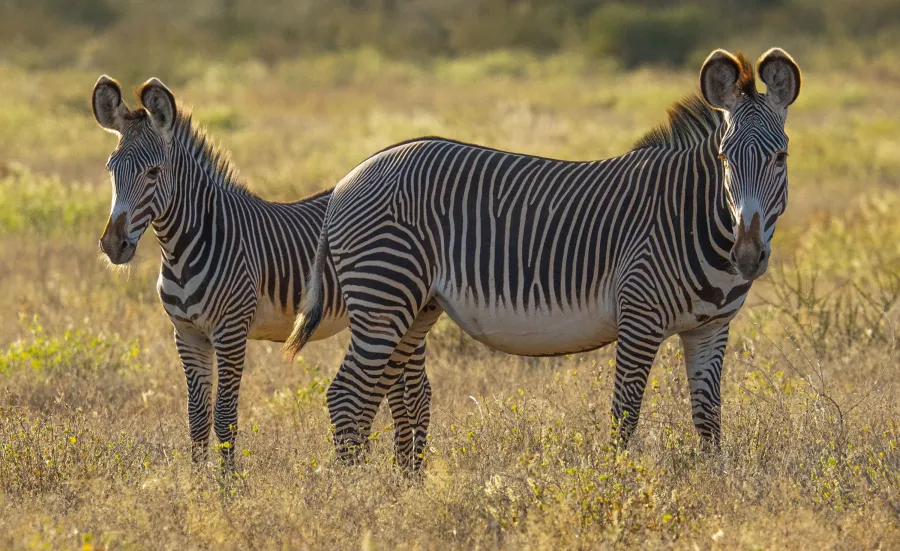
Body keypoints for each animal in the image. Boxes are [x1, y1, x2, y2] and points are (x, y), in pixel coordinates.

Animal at [91, 76, 432, 470]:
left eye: (153, 173)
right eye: (110, 169)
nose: (113, 245)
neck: (185, 247)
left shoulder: (231, 331)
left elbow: (225, 416)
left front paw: (227, 483)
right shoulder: (187, 334)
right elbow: (196, 418)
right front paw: (195, 481)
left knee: (418, 396)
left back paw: (413, 476)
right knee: (401, 396)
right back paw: (403, 472)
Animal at [284, 48, 802, 461]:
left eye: (782, 157)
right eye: (725, 158)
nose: (748, 255)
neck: (691, 214)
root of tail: (349, 178)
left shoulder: (711, 328)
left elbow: (708, 420)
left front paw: (714, 481)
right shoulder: (640, 316)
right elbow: (625, 414)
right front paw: (618, 484)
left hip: (415, 306)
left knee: (387, 395)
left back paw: (400, 488)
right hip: (383, 294)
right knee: (347, 396)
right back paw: (357, 491)